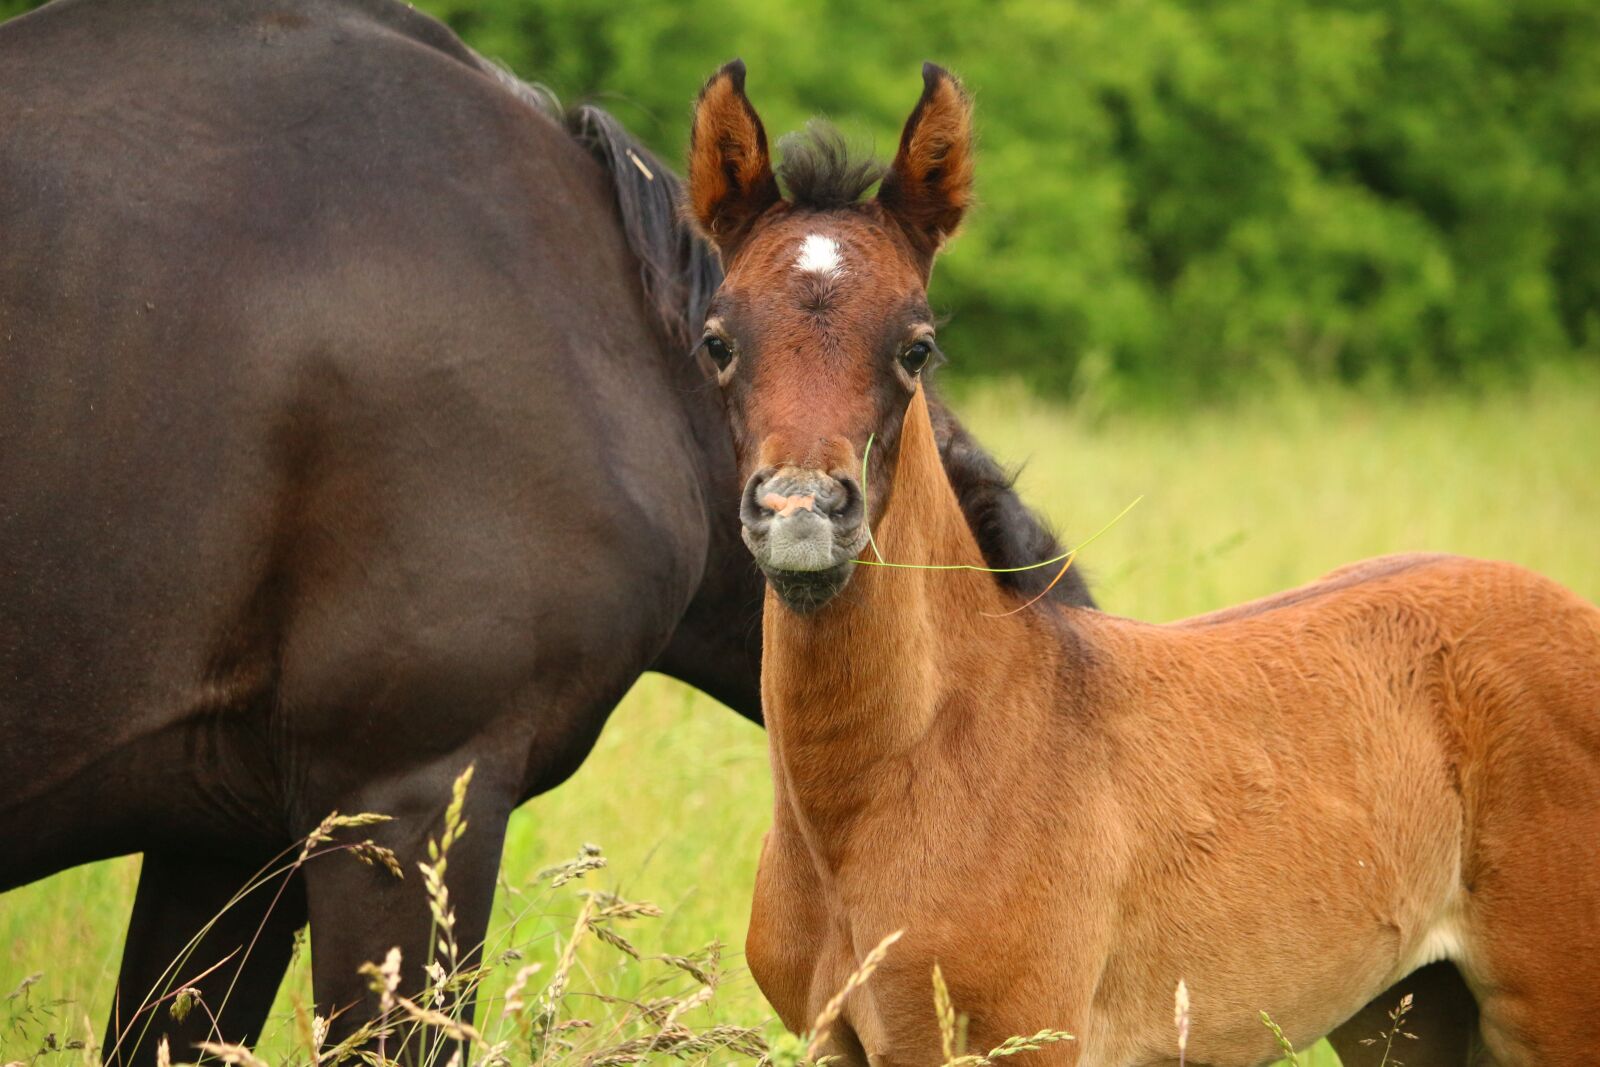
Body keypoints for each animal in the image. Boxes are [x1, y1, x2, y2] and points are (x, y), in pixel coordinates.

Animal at [683, 59, 1600, 1065]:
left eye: (917, 346)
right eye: (717, 340)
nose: (801, 512)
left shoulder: (1024, 1037)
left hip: (1556, 1001)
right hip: (1407, 1008)